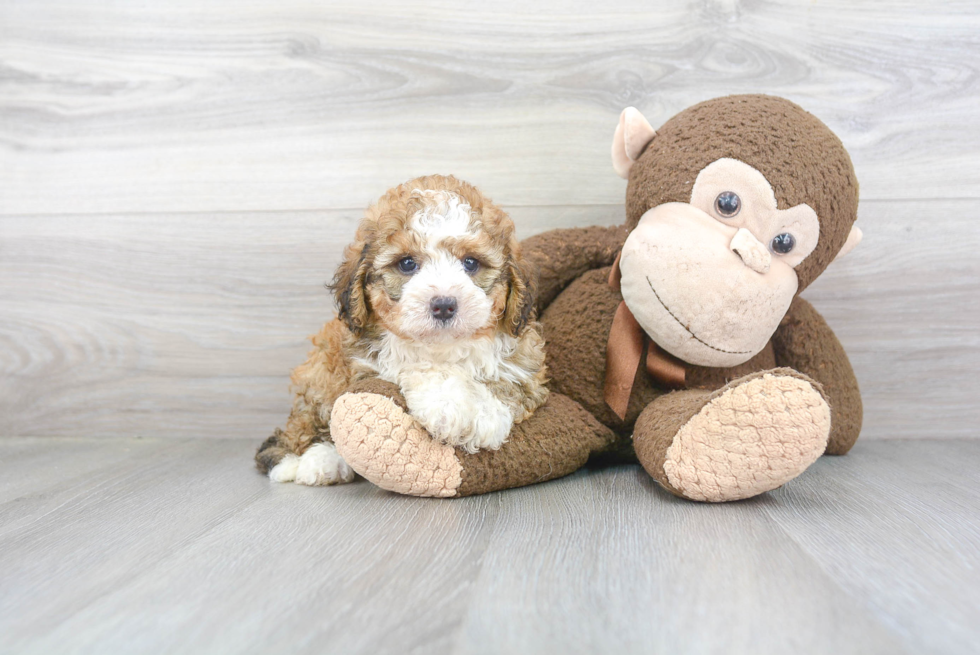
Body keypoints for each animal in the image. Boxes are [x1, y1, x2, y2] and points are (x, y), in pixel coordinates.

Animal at [255, 174, 552, 486]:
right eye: (407, 263)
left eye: (471, 263)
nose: (444, 305)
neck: (444, 346)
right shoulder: (367, 361)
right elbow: (420, 368)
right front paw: (451, 405)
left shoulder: (526, 366)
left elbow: (508, 383)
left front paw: (480, 414)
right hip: (320, 373)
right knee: (307, 422)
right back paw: (309, 462)